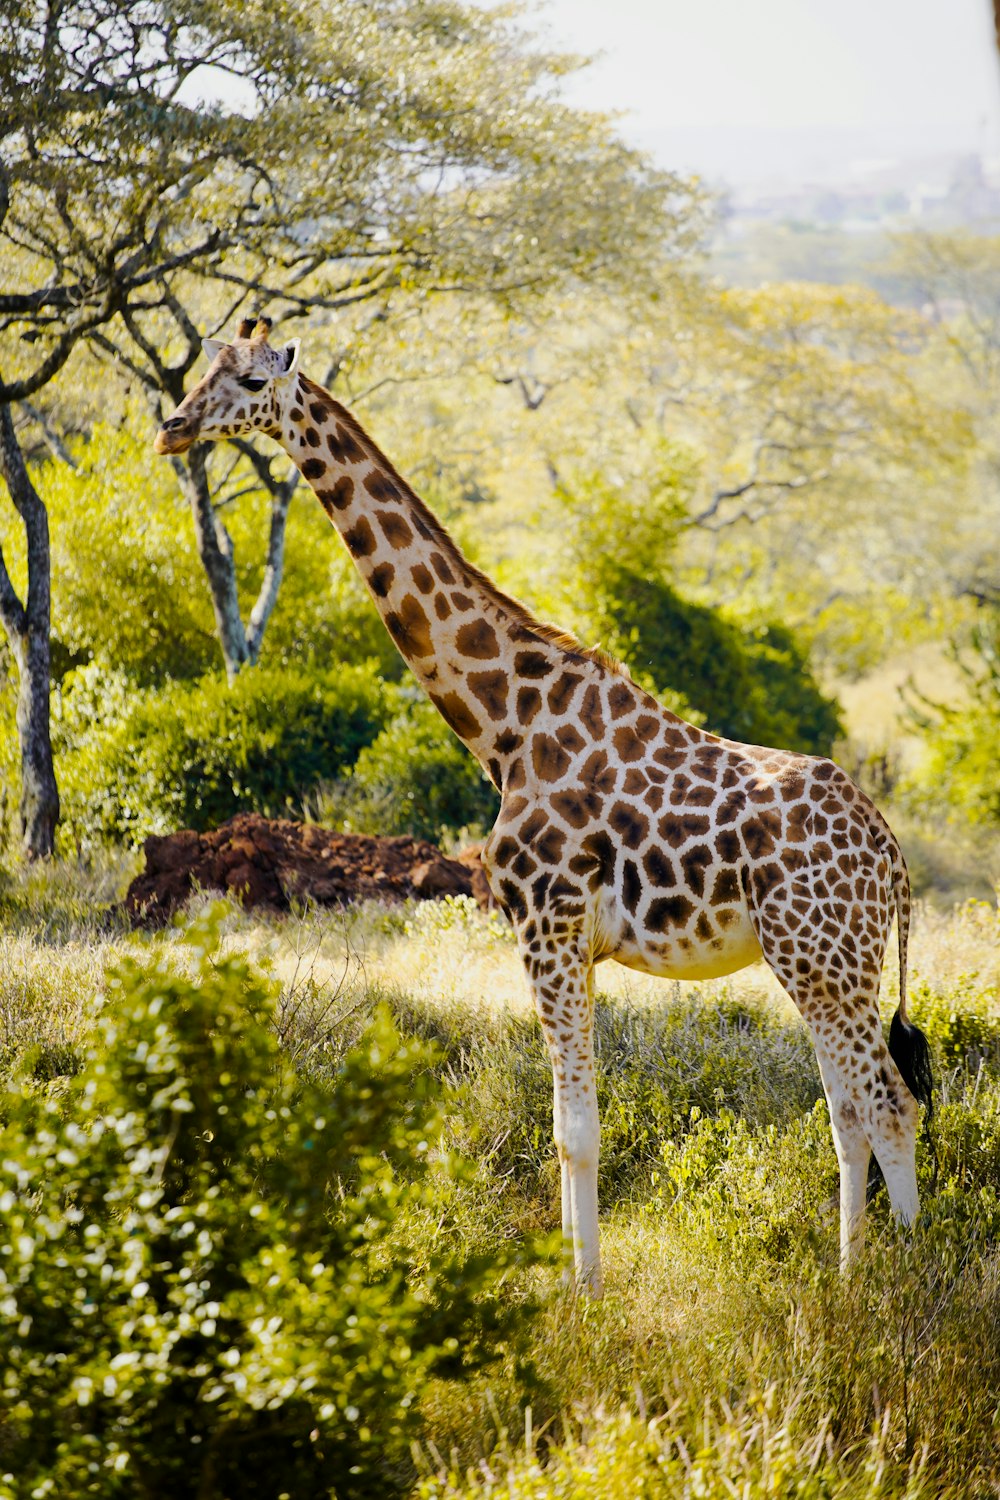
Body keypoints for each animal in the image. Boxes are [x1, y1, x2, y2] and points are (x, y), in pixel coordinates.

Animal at [152, 313, 935, 1290]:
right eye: (206, 366)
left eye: (253, 383)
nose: (172, 427)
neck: (506, 724)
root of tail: (892, 859)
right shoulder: (560, 940)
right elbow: (564, 1127)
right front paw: (573, 1274)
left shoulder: (548, 926)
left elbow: (574, 1132)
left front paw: (584, 1291)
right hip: (828, 966)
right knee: (850, 1113)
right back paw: (850, 1274)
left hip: (822, 958)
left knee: (888, 1103)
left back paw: (896, 1289)